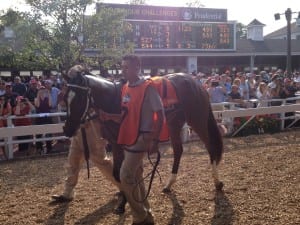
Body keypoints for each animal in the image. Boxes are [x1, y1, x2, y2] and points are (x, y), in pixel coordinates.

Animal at [63, 68, 224, 192]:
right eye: (65, 98)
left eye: (79, 98)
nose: (67, 129)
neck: (114, 100)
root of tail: (196, 83)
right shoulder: (115, 143)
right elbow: (119, 172)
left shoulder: (123, 142)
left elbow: (122, 172)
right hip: (174, 124)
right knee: (178, 150)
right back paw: (169, 184)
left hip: (197, 120)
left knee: (210, 147)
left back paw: (217, 182)